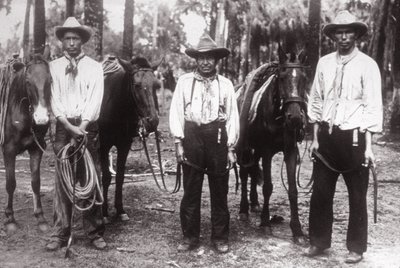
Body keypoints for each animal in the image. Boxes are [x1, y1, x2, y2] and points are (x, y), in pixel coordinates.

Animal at [0, 53, 50, 231]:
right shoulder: (8, 150)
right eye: (28, 82)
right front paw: (10, 219)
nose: (41, 118)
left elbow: (36, 182)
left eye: (50, 80)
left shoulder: (36, 148)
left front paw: (40, 217)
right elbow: (10, 183)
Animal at [99, 56, 160, 222]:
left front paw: (120, 210)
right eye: (136, 85)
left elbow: (120, 176)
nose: (152, 121)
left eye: (156, 85)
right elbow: (106, 177)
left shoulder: (124, 145)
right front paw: (104, 213)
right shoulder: (103, 145)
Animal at [238, 48, 310, 245]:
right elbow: (268, 187)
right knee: (244, 174)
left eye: (304, 78)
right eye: (282, 78)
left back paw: (254, 203)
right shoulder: (267, 152)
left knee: (252, 171)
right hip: (247, 148)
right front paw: (265, 223)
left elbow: (293, 190)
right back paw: (244, 209)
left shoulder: (290, 151)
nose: (295, 117)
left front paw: (297, 230)